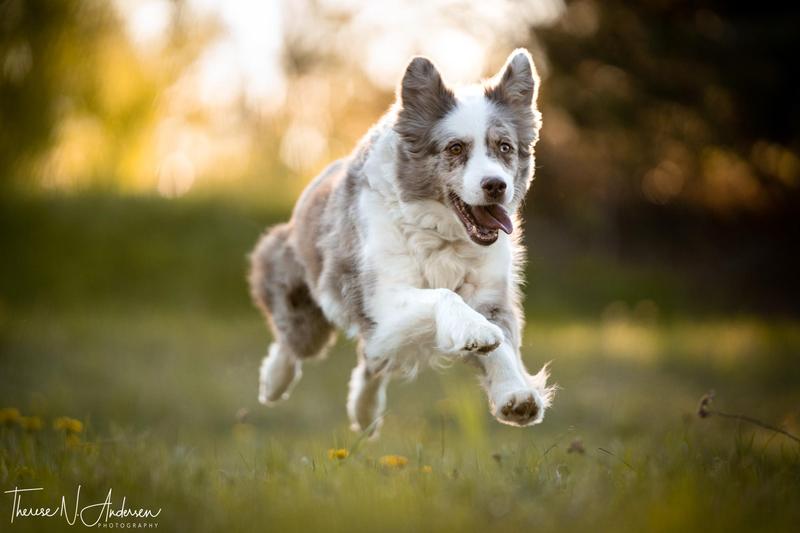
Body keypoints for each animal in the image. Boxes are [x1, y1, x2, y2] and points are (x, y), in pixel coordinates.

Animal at [250, 47, 556, 434]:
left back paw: (364, 414)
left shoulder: (490, 294)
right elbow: (445, 297)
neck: (443, 236)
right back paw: (273, 383)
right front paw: (474, 329)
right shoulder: (381, 297)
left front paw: (515, 396)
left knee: (373, 356)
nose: (496, 185)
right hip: (305, 299)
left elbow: (501, 343)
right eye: (455, 148)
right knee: (295, 342)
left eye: (504, 147)